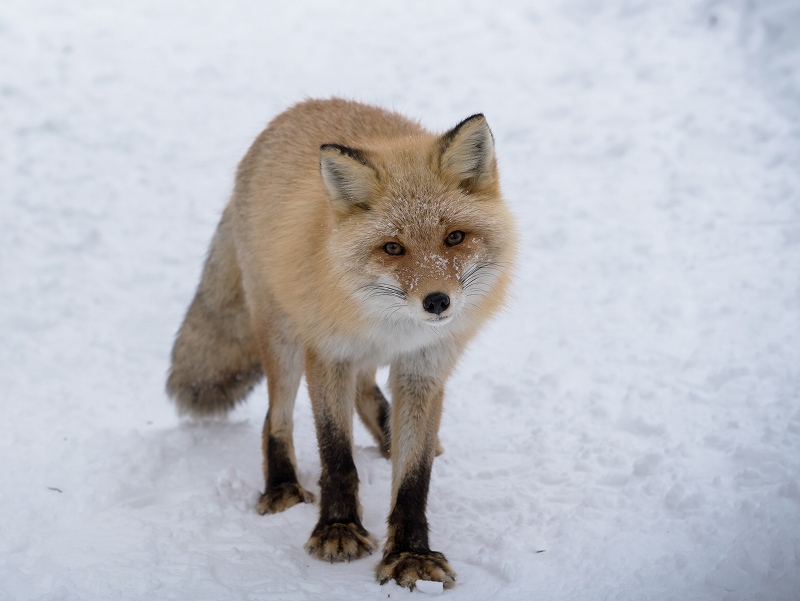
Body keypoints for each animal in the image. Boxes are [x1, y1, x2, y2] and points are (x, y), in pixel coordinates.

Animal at [167, 96, 520, 588]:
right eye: (392, 248)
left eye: (454, 237)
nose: (437, 302)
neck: (393, 326)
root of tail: (295, 110)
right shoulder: (328, 353)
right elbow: (336, 455)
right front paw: (338, 529)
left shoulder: (425, 368)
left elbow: (414, 477)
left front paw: (410, 554)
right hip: (284, 339)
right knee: (276, 418)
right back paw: (281, 486)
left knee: (367, 390)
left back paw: (389, 439)